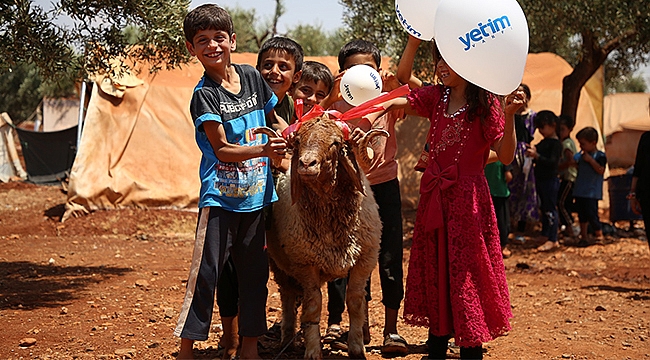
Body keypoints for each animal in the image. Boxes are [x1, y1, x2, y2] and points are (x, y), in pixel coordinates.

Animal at [256, 116, 388, 358]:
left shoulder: (365, 259)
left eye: (335, 143)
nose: (307, 164)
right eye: (298, 141)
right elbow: (313, 305)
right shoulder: (305, 264)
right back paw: (287, 339)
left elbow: (355, 301)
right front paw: (313, 350)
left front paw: (357, 348)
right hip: (278, 265)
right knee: (287, 297)